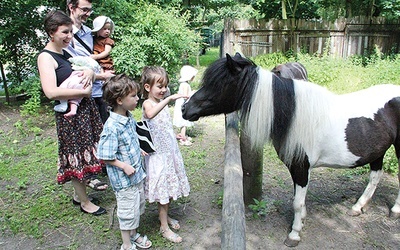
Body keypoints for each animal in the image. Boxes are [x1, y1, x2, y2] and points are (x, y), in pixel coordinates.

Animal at [183, 52, 400, 246]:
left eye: (219, 84)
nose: (185, 109)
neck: (292, 115)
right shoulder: (295, 168)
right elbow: (297, 197)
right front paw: (301, 220)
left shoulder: (301, 167)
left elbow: (297, 202)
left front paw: (294, 234)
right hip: (377, 150)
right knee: (375, 176)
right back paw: (358, 207)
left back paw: (395, 210)